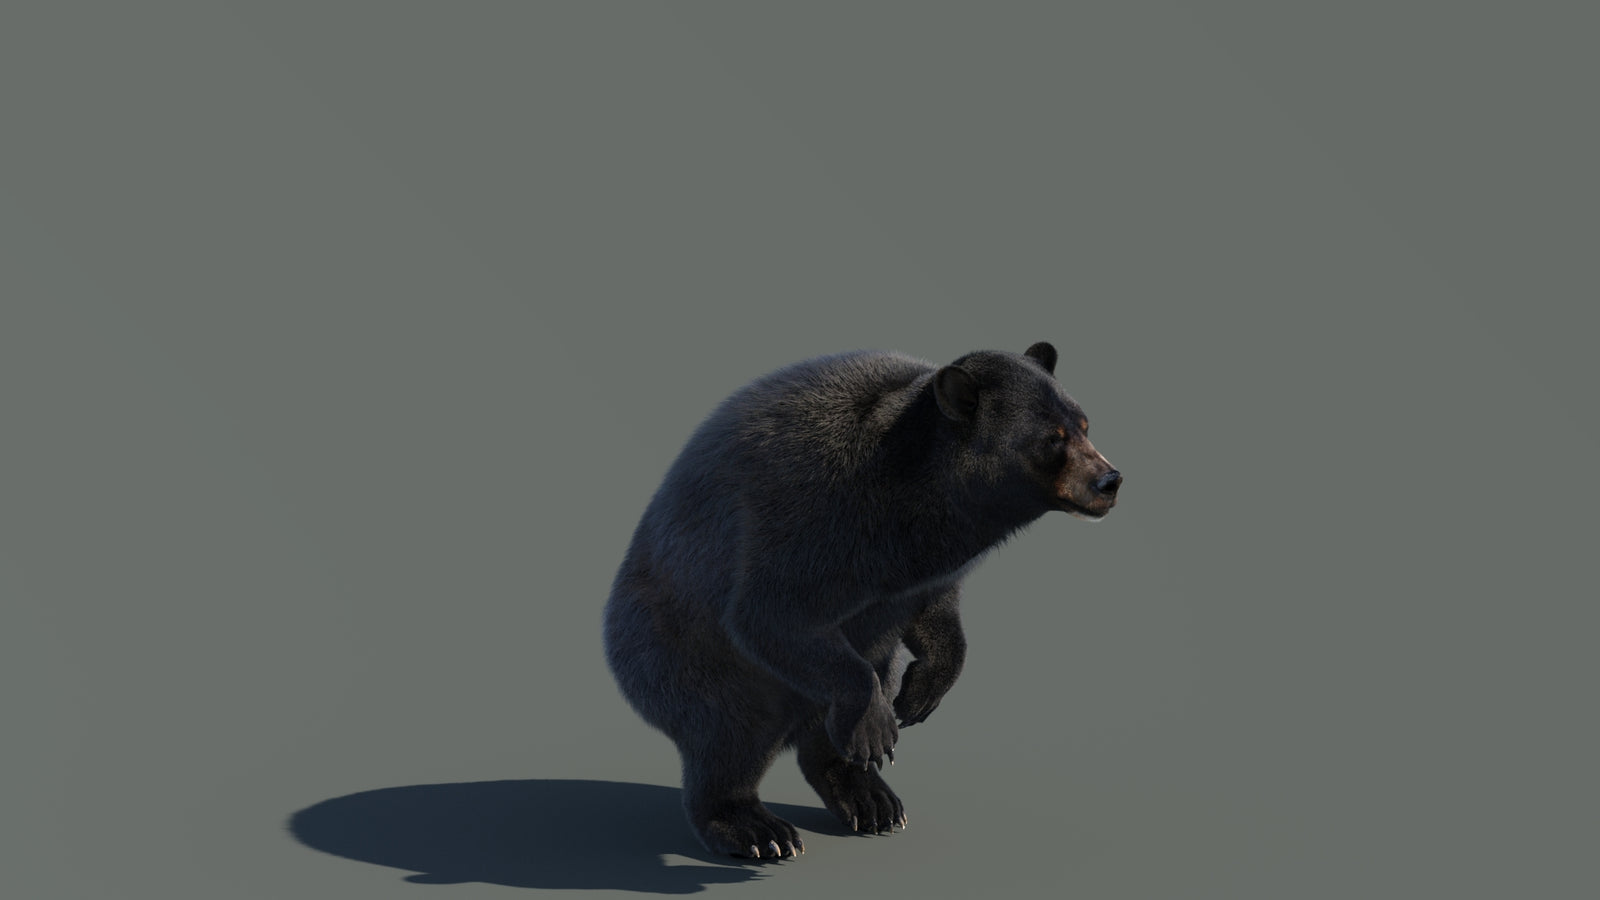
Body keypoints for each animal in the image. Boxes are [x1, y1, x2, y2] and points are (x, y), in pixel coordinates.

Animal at [602, 341, 1121, 859]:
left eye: (1084, 424)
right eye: (1052, 438)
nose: (1110, 481)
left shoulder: (923, 568)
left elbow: (934, 612)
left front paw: (919, 694)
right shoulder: (814, 511)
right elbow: (771, 613)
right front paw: (876, 728)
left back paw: (869, 797)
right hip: (677, 653)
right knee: (729, 732)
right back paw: (756, 828)